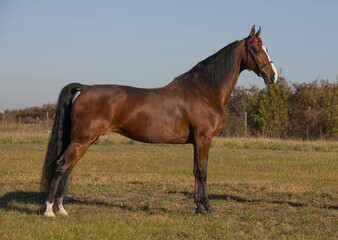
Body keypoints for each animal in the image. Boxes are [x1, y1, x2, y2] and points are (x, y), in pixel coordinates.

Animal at [41, 25, 278, 217]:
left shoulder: (197, 142)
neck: (204, 91)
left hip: (84, 141)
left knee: (68, 169)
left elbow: (195, 171)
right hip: (82, 140)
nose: (273, 76)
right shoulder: (204, 139)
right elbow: (203, 172)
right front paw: (208, 208)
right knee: (61, 166)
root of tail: (86, 88)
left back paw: (61, 209)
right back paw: (50, 210)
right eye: (257, 50)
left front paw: (198, 207)